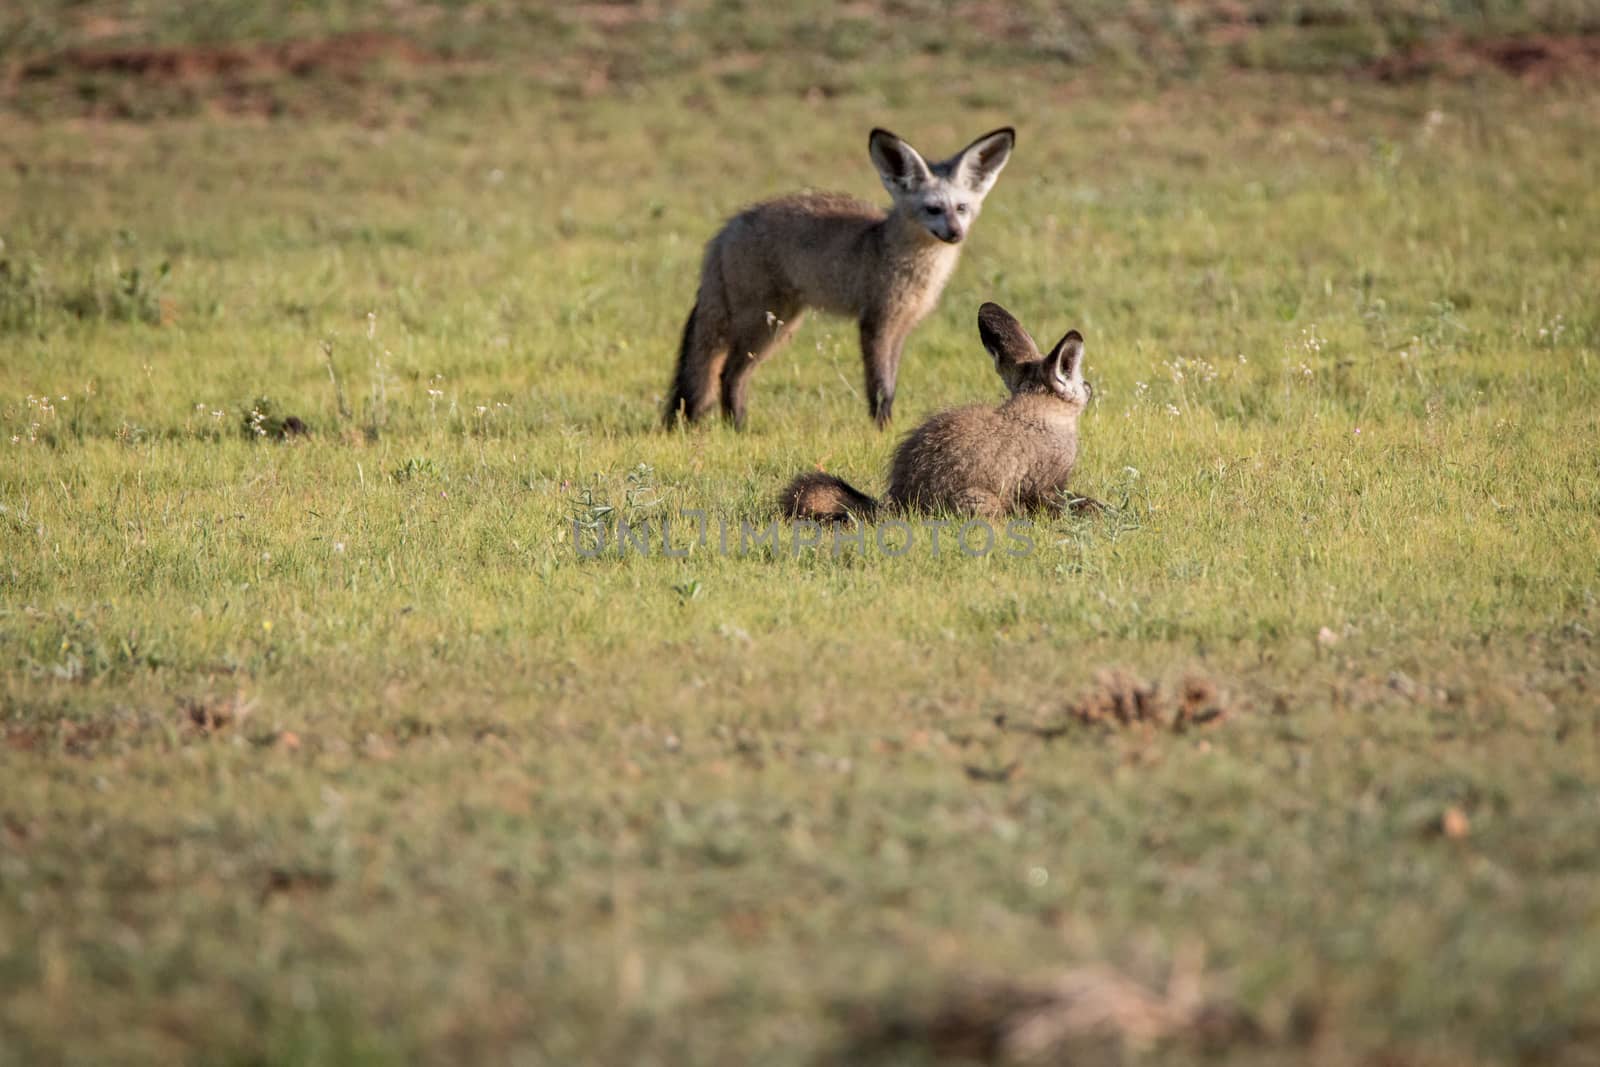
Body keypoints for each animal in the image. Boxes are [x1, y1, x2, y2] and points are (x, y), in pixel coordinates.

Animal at [659, 130, 1011, 435]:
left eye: (961, 208)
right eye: (933, 209)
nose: (955, 234)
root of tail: (726, 228)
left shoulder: (901, 327)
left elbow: (892, 383)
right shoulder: (876, 322)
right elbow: (880, 388)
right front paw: (882, 431)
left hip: (779, 325)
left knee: (729, 374)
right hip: (762, 326)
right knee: (726, 374)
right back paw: (739, 429)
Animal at [777, 302, 1100, 524]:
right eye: (1077, 377)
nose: (1089, 387)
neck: (1037, 413)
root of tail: (897, 505)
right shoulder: (1045, 485)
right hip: (981, 502)